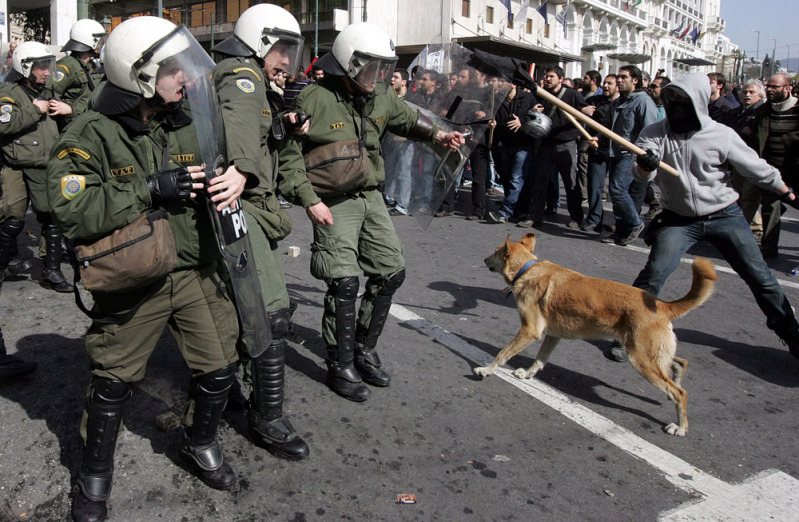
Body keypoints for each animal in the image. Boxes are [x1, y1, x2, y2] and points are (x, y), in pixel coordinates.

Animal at [476, 233, 720, 434]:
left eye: (495, 251)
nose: (484, 260)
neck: (528, 269)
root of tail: (662, 305)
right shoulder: (553, 335)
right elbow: (539, 360)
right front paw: (527, 374)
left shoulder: (530, 331)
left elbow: (503, 353)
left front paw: (486, 370)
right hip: (650, 353)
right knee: (679, 363)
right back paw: (677, 377)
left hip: (641, 359)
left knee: (680, 393)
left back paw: (680, 426)